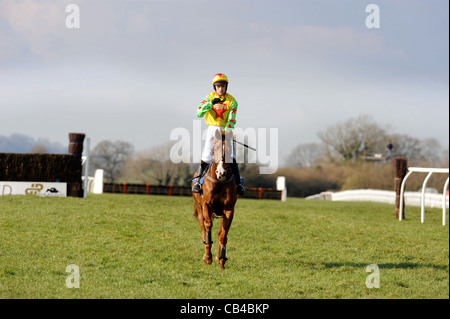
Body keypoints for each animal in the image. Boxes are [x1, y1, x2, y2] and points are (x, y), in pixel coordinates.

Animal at [191, 129, 237, 272]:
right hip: (199, 208)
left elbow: (223, 234)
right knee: (203, 229)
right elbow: (208, 227)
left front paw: (221, 260)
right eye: (216, 148)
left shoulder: (229, 209)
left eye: (229, 149)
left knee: (220, 233)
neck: (219, 183)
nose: (221, 172)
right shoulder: (206, 205)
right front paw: (208, 257)